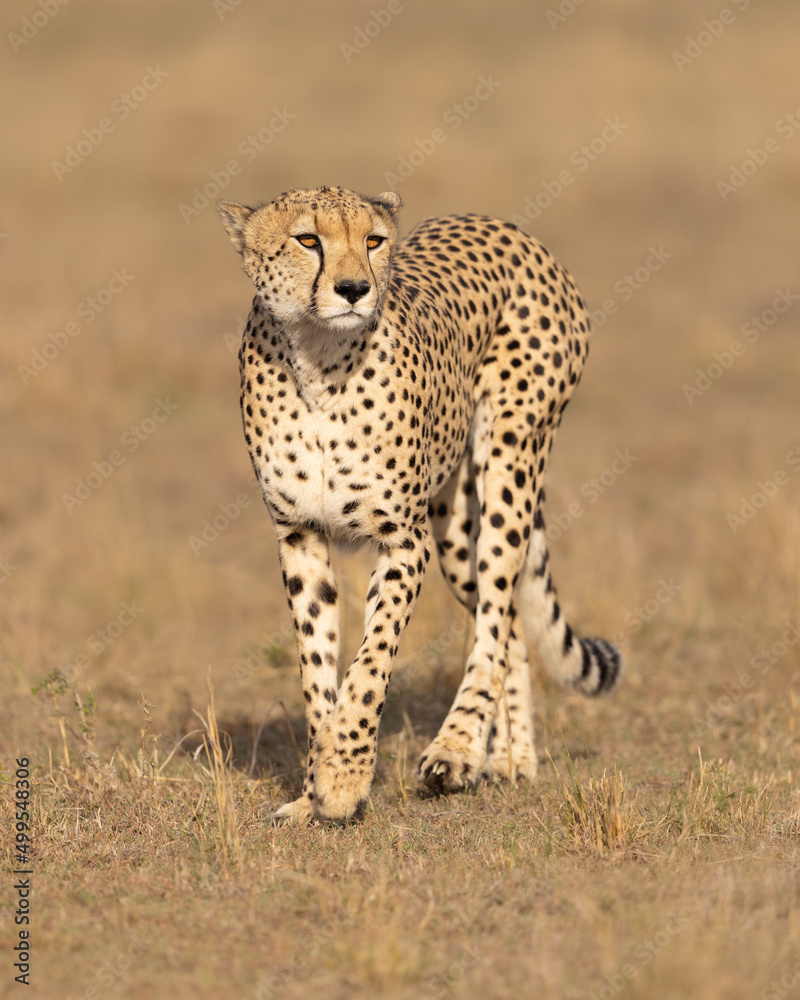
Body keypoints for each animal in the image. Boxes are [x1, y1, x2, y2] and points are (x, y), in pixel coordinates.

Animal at [219, 186, 624, 820]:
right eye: (307, 239)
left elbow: (371, 661)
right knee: (507, 624)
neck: (318, 359)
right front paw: (313, 792)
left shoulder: (403, 540)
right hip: (454, 525)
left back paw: (457, 751)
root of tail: (502, 225)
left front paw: (343, 779)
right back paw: (510, 757)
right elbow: (317, 666)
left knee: (495, 614)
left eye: (373, 240)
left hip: (508, 460)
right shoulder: (300, 535)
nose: (354, 289)